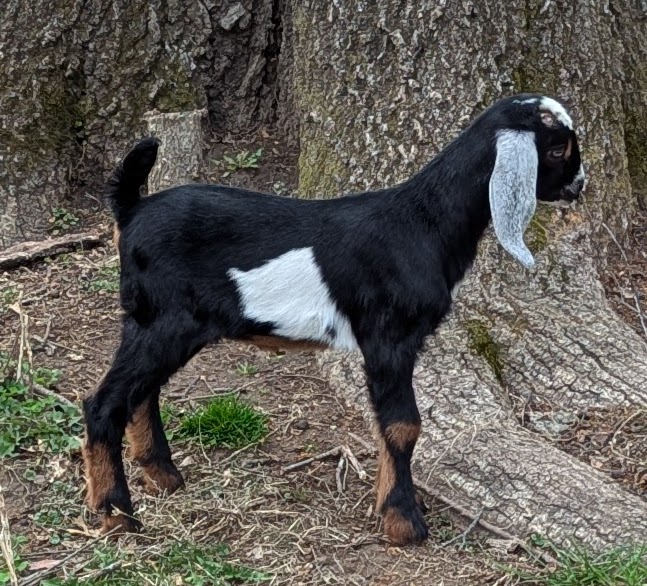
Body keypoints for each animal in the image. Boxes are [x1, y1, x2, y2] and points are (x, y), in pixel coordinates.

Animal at [82, 93, 585, 546]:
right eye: (558, 148)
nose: (579, 185)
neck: (423, 222)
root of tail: (132, 209)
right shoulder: (389, 336)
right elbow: (403, 425)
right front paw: (403, 522)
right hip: (164, 320)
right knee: (104, 402)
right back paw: (116, 514)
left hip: (155, 322)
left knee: (142, 391)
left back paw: (162, 475)